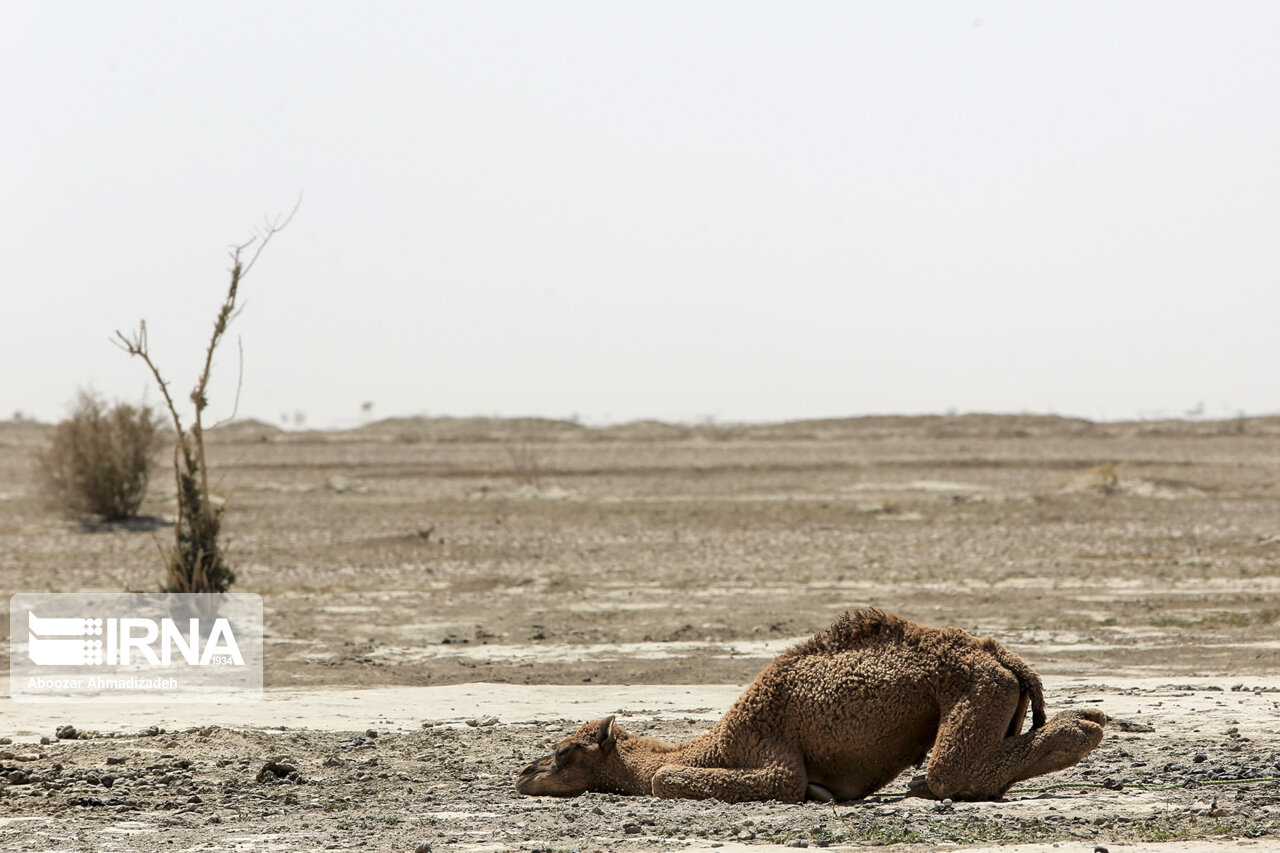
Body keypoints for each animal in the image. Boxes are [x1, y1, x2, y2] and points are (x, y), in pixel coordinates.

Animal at [514, 607, 1105, 799]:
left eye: (565, 751)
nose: (522, 773)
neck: (714, 744)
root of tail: (1005, 658)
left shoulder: (769, 752)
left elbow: (663, 779)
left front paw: (818, 794)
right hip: (996, 694)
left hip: (974, 688)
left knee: (950, 772)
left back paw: (1087, 726)